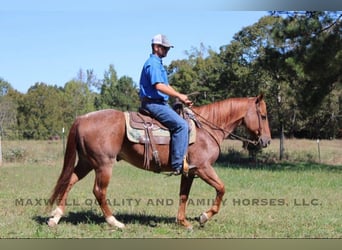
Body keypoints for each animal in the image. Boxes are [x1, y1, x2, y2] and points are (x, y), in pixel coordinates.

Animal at [47, 94, 270, 230]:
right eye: (264, 115)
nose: (266, 141)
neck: (206, 129)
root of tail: (82, 118)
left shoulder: (190, 172)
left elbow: (183, 196)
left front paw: (183, 222)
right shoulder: (204, 168)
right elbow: (221, 189)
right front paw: (203, 216)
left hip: (86, 162)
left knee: (69, 181)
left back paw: (55, 217)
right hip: (103, 164)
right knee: (99, 191)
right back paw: (115, 222)